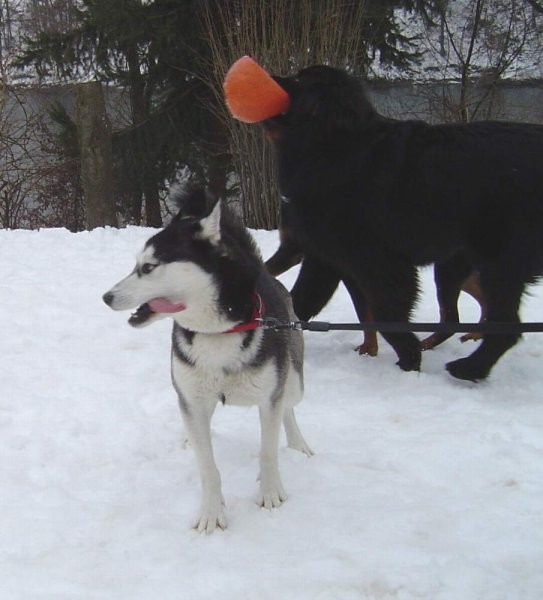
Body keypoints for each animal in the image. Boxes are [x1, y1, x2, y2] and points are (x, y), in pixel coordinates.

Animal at [264, 65, 543, 382]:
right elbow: (298, 301)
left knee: (504, 326)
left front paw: (409, 361)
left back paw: (468, 368)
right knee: (458, 318)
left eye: (299, 80)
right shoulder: (326, 257)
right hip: (458, 265)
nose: (264, 74)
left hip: (499, 261)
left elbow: (387, 317)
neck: (336, 147)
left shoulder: (378, 263)